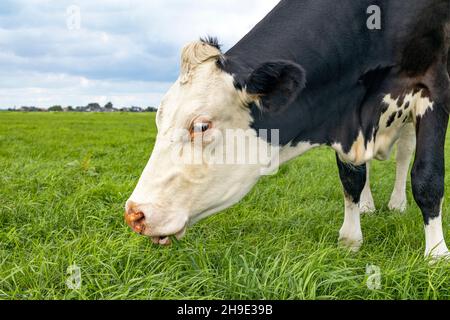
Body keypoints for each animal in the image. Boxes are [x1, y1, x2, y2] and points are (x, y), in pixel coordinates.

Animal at [125, 0, 450, 260]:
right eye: (159, 119)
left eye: (202, 125)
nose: (134, 214)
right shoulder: (341, 111)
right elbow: (351, 179)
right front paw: (350, 239)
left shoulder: (433, 86)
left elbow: (427, 177)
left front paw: (436, 254)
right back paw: (370, 204)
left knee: (404, 155)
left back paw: (397, 203)